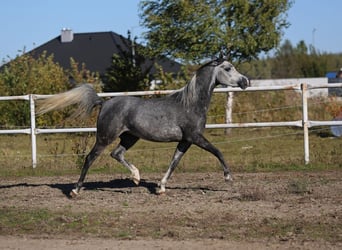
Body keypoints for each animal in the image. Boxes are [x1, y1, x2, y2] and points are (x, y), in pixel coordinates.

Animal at [38, 57, 250, 196]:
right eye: (228, 68)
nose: (246, 81)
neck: (190, 103)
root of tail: (104, 103)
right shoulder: (195, 137)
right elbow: (217, 151)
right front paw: (228, 177)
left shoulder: (185, 141)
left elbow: (174, 162)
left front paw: (161, 187)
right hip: (105, 137)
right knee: (90, 158)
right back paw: (75, 190)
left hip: (130, 137)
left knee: (116, 154)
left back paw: (136, 177)